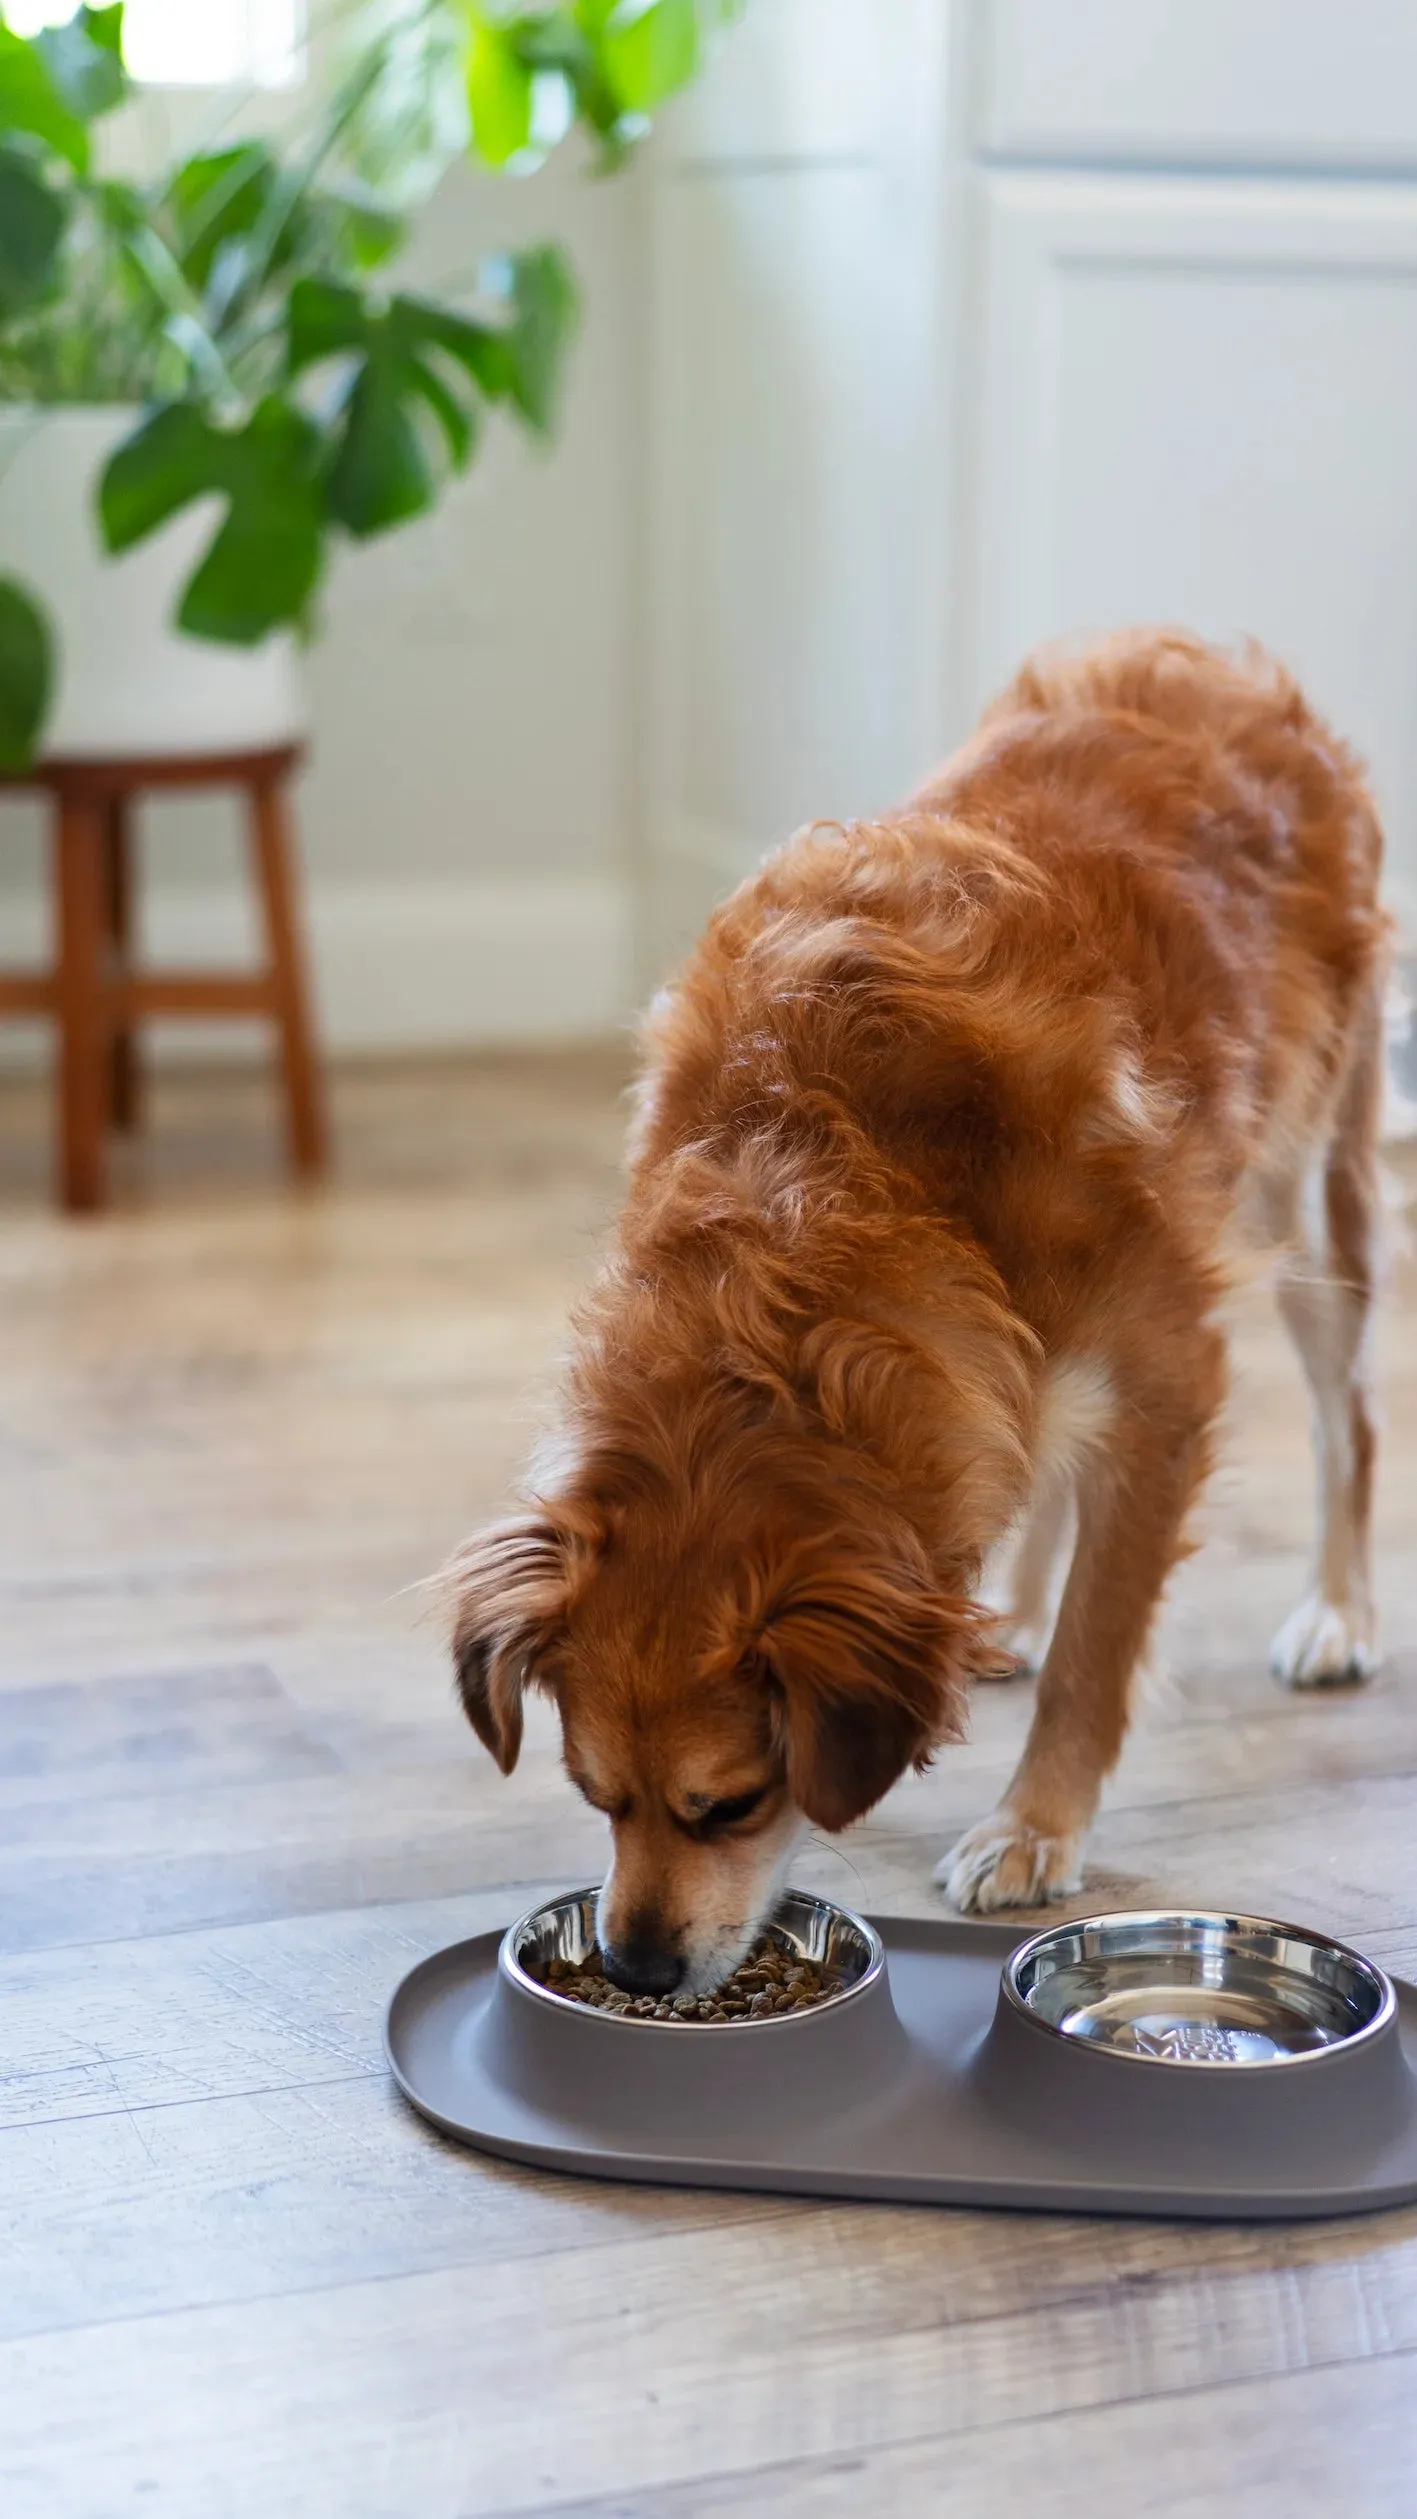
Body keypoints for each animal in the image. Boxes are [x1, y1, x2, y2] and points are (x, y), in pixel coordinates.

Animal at [453, 639, 1389, 1995]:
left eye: (729, 1803)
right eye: (594, 1794)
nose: (631, 1967)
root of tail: (1212, 656)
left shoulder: (1168, 1381)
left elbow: (1100, 1654)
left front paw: (1034, 1825)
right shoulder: (990, 1361)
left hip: (1310, 1187)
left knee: (1346, 1421)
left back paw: (1338, 1614)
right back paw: (1004, 1617)